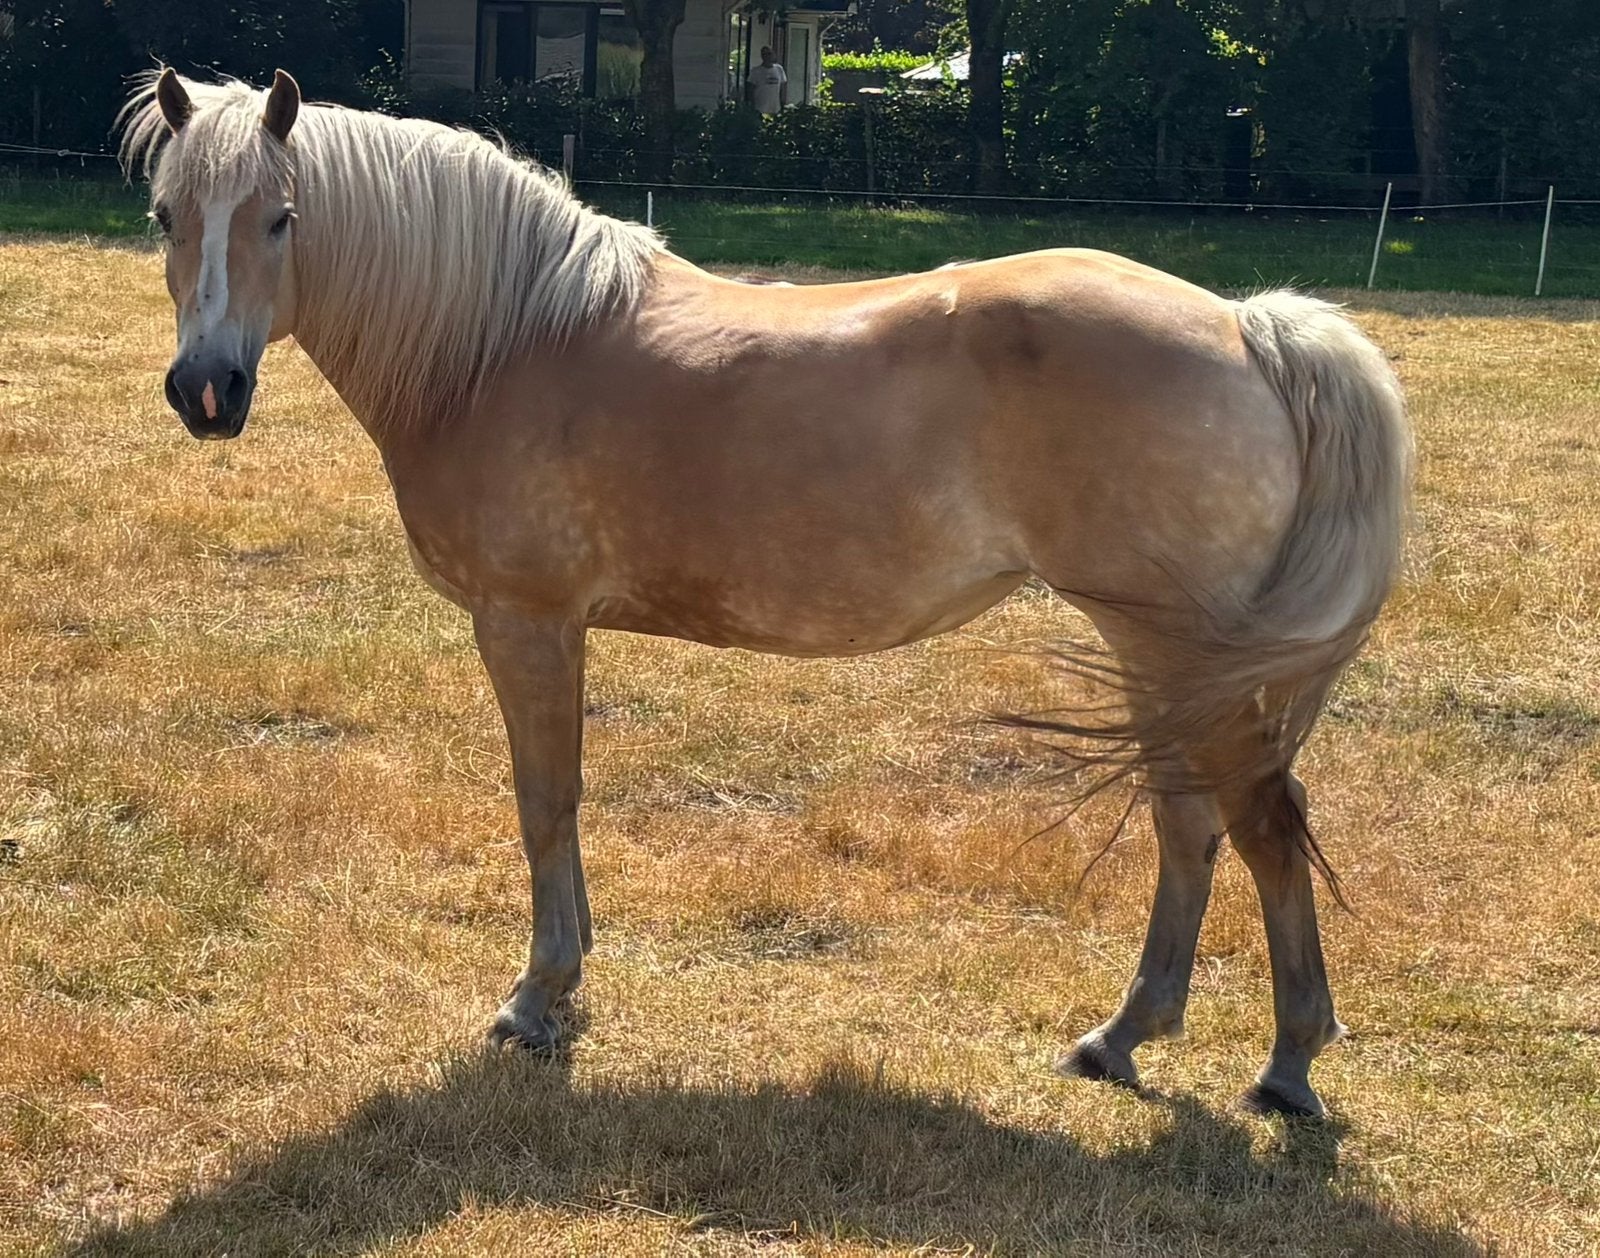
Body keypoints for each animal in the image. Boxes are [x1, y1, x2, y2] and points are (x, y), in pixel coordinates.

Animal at [120, 68, 1411, 1119]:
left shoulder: (526, 623)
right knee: (1191, 826)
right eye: (167, 216)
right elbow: (561, 803)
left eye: (282, 217)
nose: (207, 391)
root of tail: (1248, 327)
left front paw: (539, 997)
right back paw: (1123, 1038)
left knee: (1257, 828)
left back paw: (1286, 1066)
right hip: (1164, 659)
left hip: (1178, 655)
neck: (503, 341)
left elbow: (547, 800)